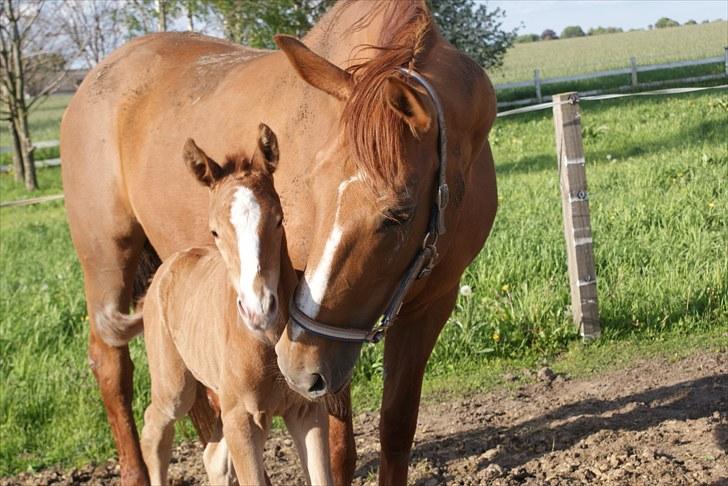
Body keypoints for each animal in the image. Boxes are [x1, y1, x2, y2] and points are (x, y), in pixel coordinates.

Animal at [96, 126, 332, 486]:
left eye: (279, 220)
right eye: (215, 231)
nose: (259, 308)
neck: (265, 340)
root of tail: (162, 273)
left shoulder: (305, 409)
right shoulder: (242, 420)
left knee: (214, 456)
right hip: (175, 385)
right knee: (155, 428)